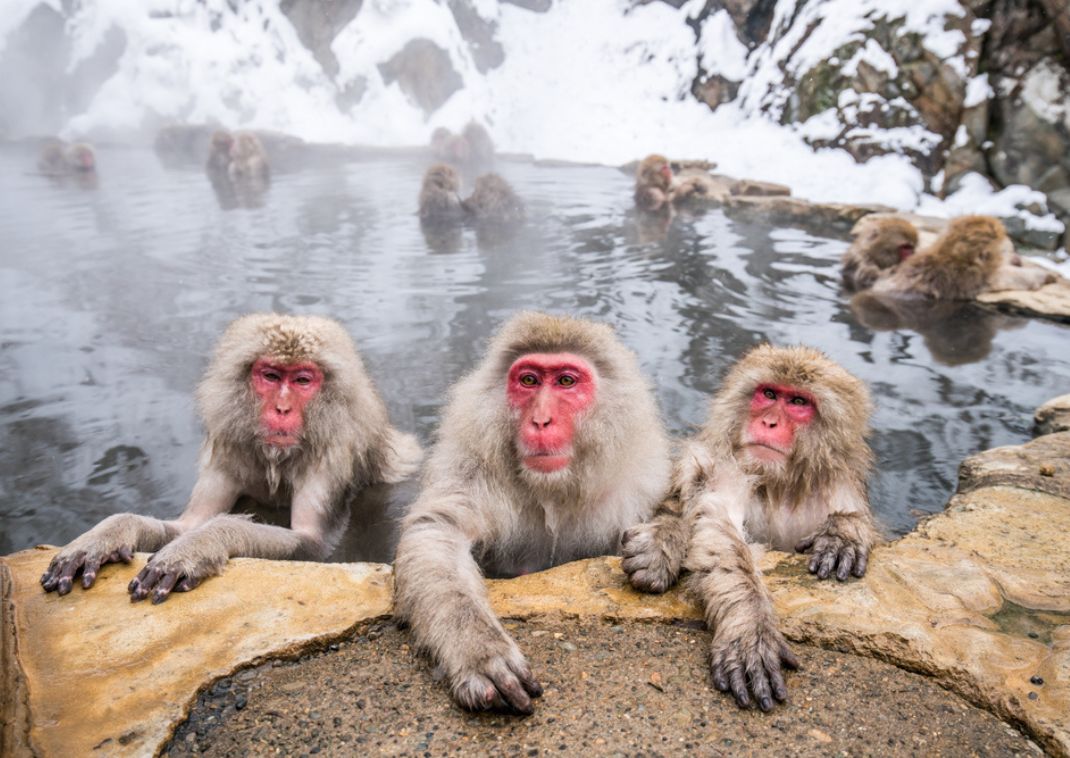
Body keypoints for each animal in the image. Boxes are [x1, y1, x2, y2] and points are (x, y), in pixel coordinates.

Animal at [40, 314, 421, 603]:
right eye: (271, 376)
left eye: (302, 380)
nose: (282, 409)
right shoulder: (229, 451)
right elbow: (187, 524)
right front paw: (108, 534)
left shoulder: (331, 458)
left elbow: (313, 544)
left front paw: (202, 544)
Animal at [393, 310, 667, 715]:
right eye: (529, 380)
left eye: (566, 381)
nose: (540, 421)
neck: (553, 490)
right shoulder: (472, 471)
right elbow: (438, 531)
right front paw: (479, 650)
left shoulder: (641, 484)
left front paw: (661, 549)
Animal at [620, 346, 877, 715]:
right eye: (768, 394)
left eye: (798, 402)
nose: (768, 422)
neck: (778, 487)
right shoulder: (727, 467)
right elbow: (718, 526)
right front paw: (751, 626)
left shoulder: (837, 484)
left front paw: (843, 533)